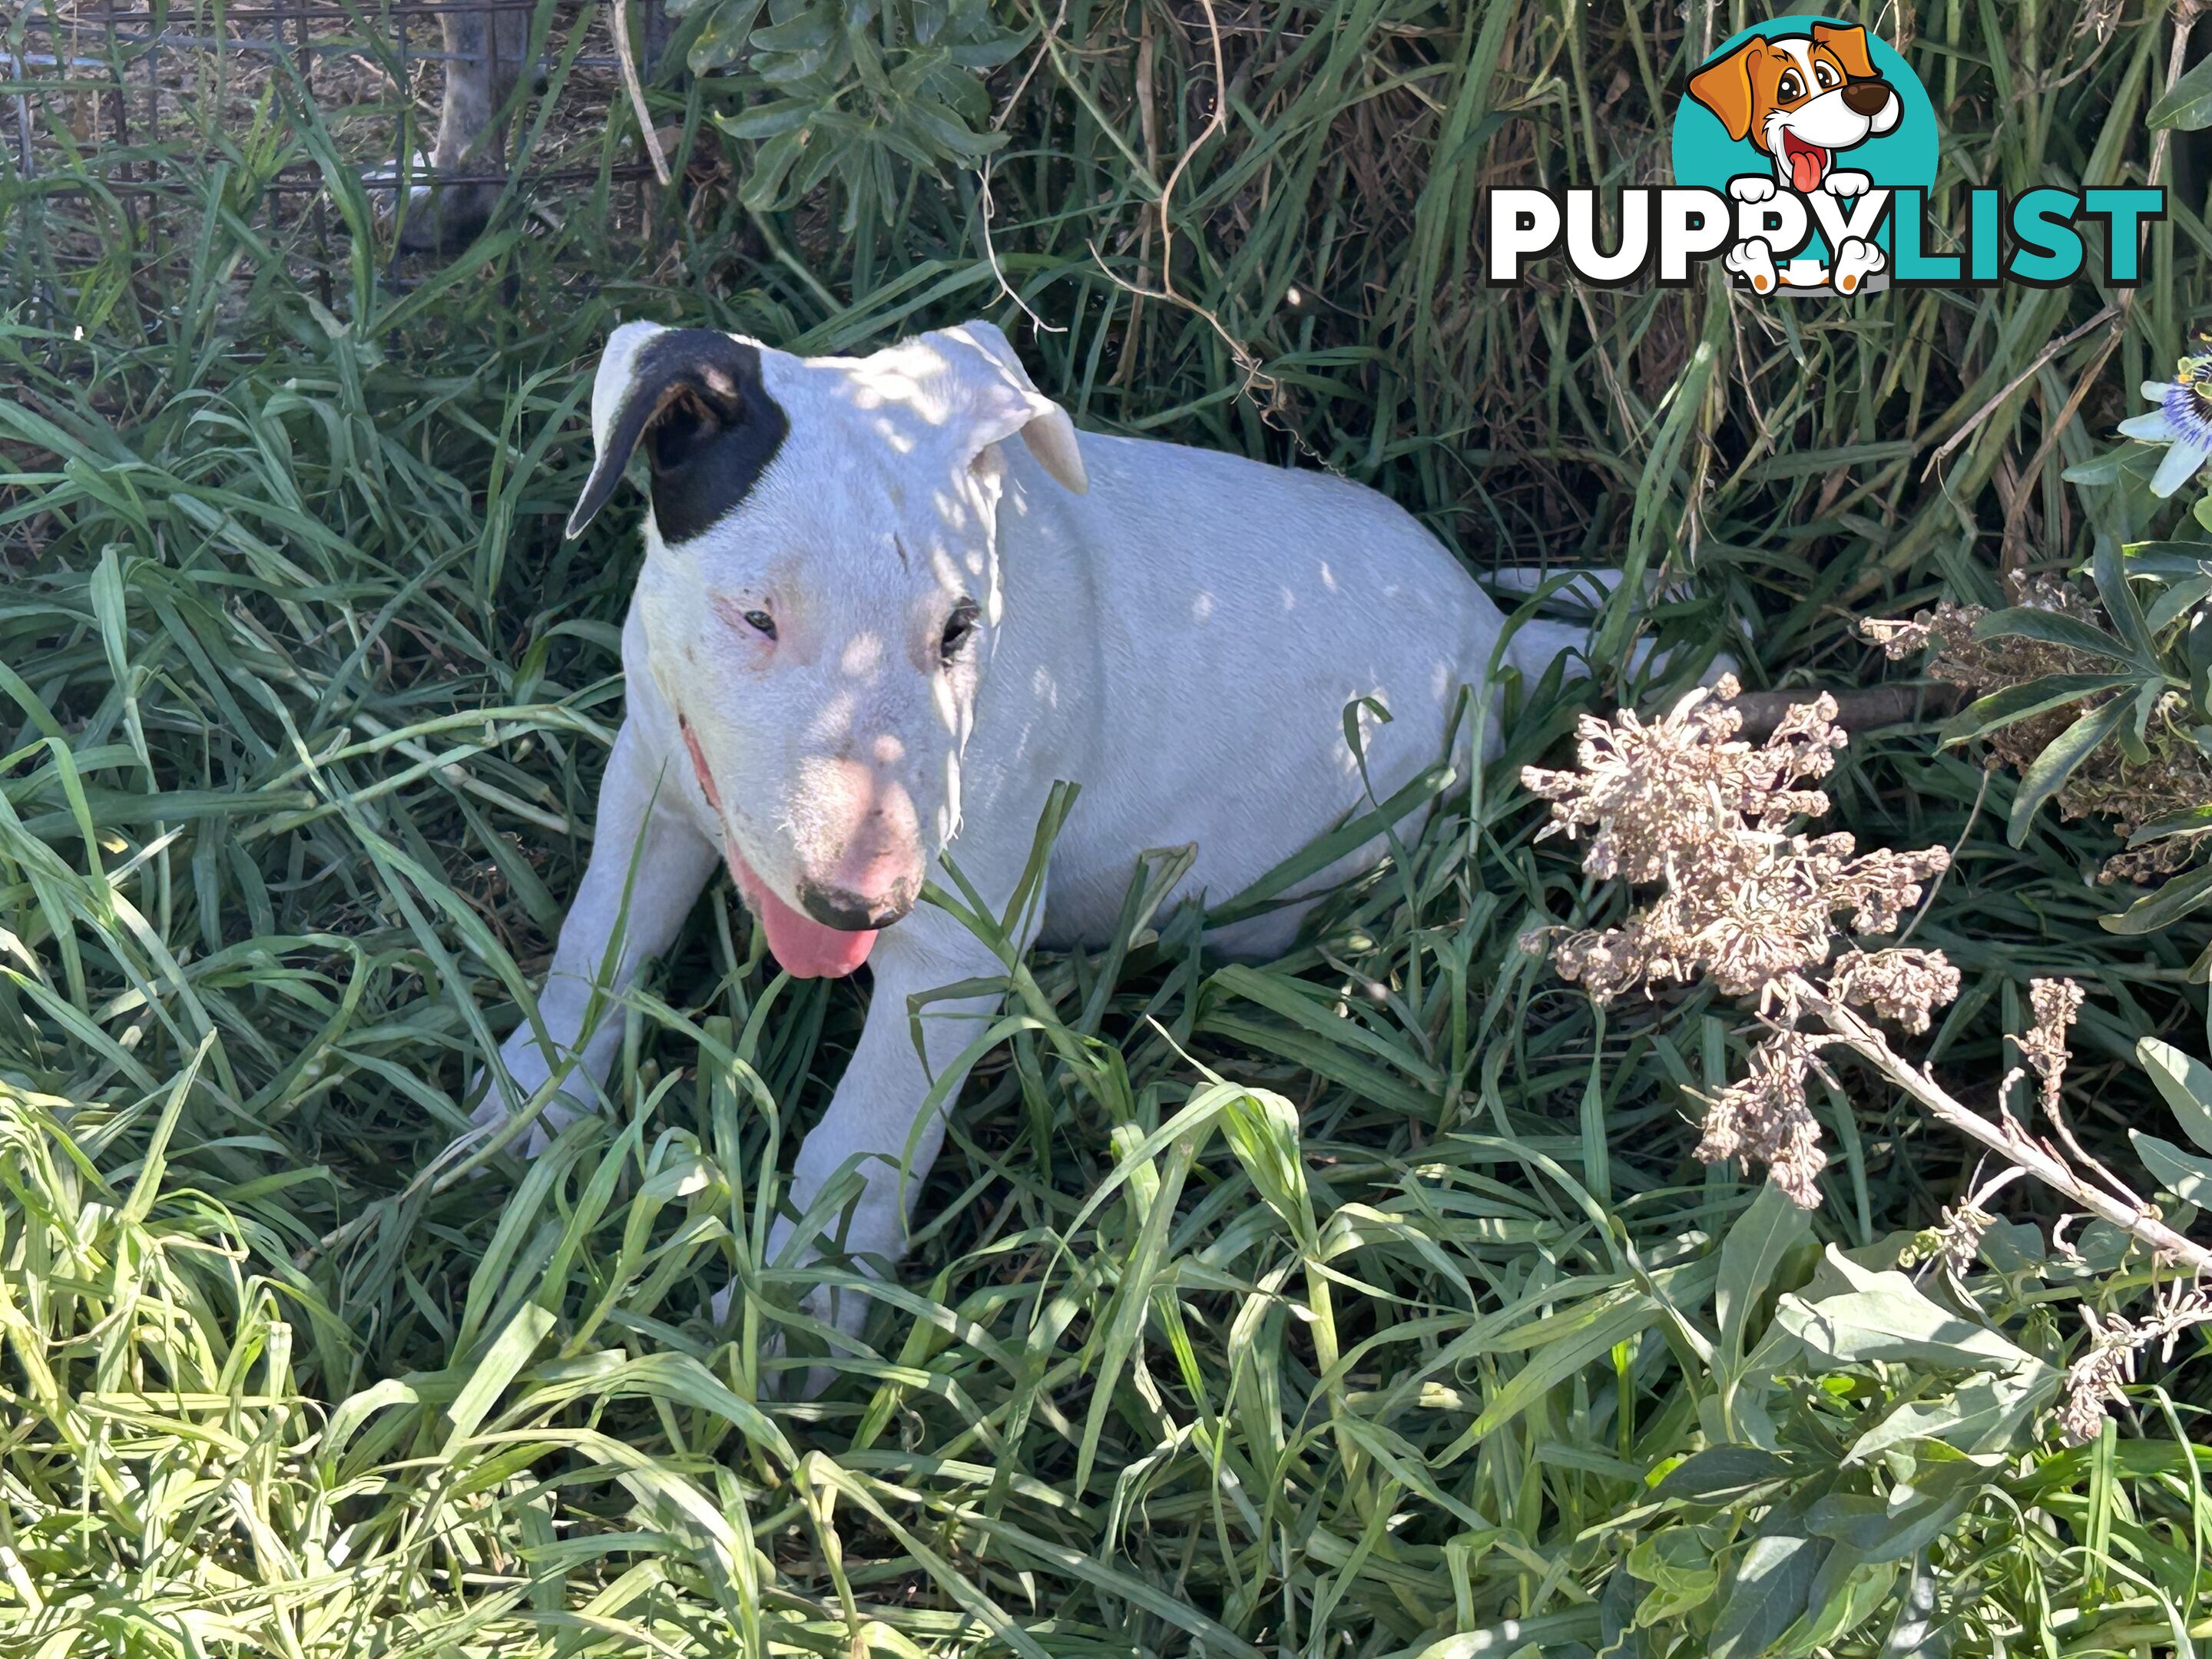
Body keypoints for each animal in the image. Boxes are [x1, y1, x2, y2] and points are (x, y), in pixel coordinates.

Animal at [482, 320, 1584, 1353]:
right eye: (755, 616)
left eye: (958, 630)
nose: (865, 903)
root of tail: (1495, 634)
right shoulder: (652, 776)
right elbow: (597, 948)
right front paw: (527, 1107)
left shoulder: (956, 952)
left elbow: (867, 1135)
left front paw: (800, 1309)